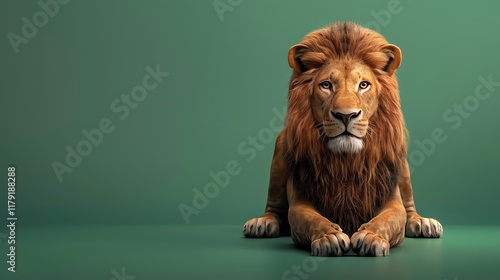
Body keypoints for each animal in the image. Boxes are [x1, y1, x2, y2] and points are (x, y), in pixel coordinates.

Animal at [242, 23, 442, 258]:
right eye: (326, 85)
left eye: (363, 85)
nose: (346, 115)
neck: (346, 163)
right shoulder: (301, 197)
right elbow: (307, 218)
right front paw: (330, 237)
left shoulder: (390, 199)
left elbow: (390, 218)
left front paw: (370, 236)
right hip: (279, 151)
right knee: (273, 208)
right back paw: (262, 224)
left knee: (410, 209)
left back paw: (424, 223)